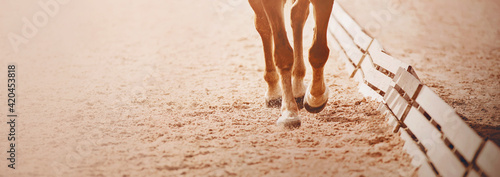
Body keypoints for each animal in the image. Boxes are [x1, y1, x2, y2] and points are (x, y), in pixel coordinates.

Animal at [248, 0, 334, 128]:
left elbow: (318, 51)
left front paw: (315, 97)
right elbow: (283, 54)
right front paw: (289, 113)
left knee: (297, 15)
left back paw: (298, 87)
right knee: (263, 25)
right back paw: (273, 91)